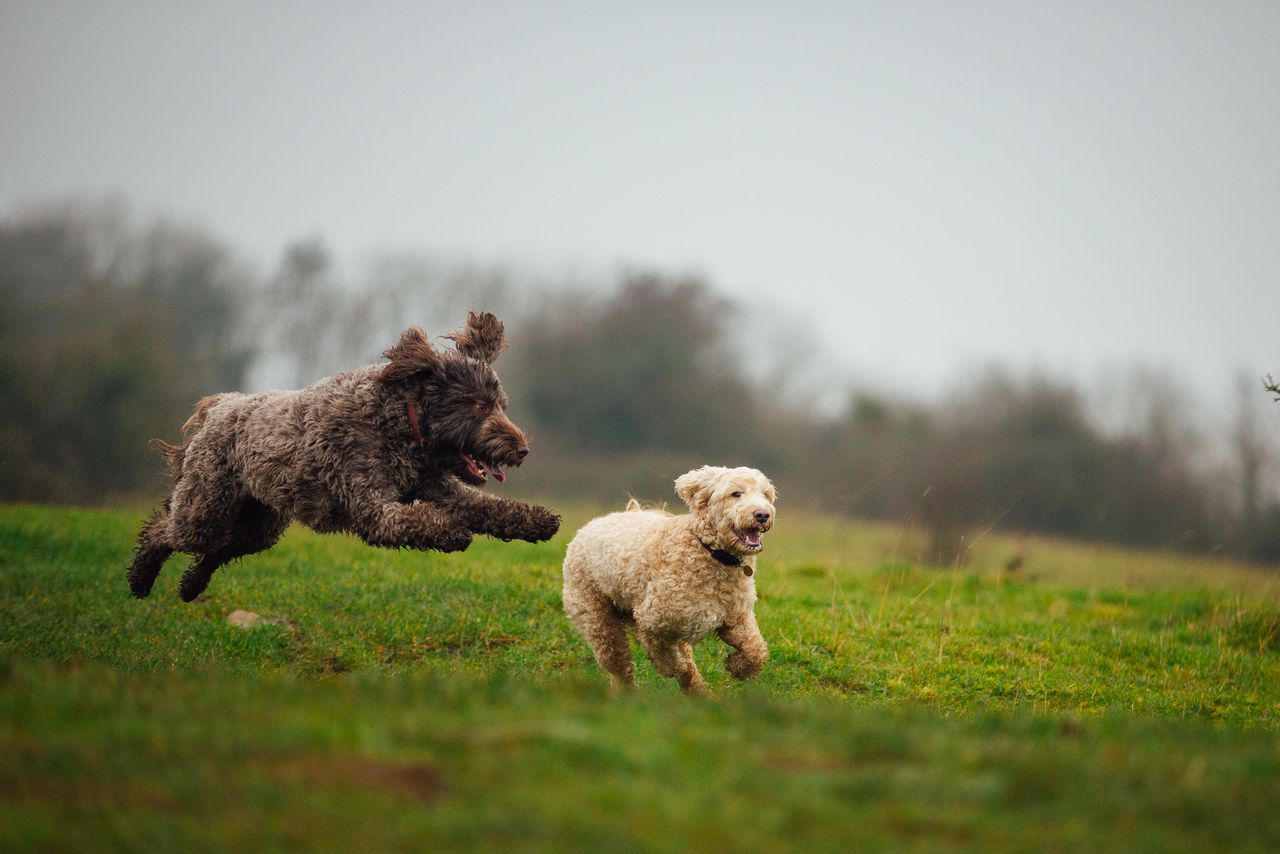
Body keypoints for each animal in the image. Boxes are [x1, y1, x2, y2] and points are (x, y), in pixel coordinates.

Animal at [563, 468, 773, 696]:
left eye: (766, 495)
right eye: (736, 493)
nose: (763, 514)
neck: (709, 552)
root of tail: (590, 525)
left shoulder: (736, 618)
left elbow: (757, 649)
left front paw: (740, 667)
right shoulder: (652, 621)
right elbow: (670, 658)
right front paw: (671, 667)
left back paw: (700, 694)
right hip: (597, 620)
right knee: (619, 664)